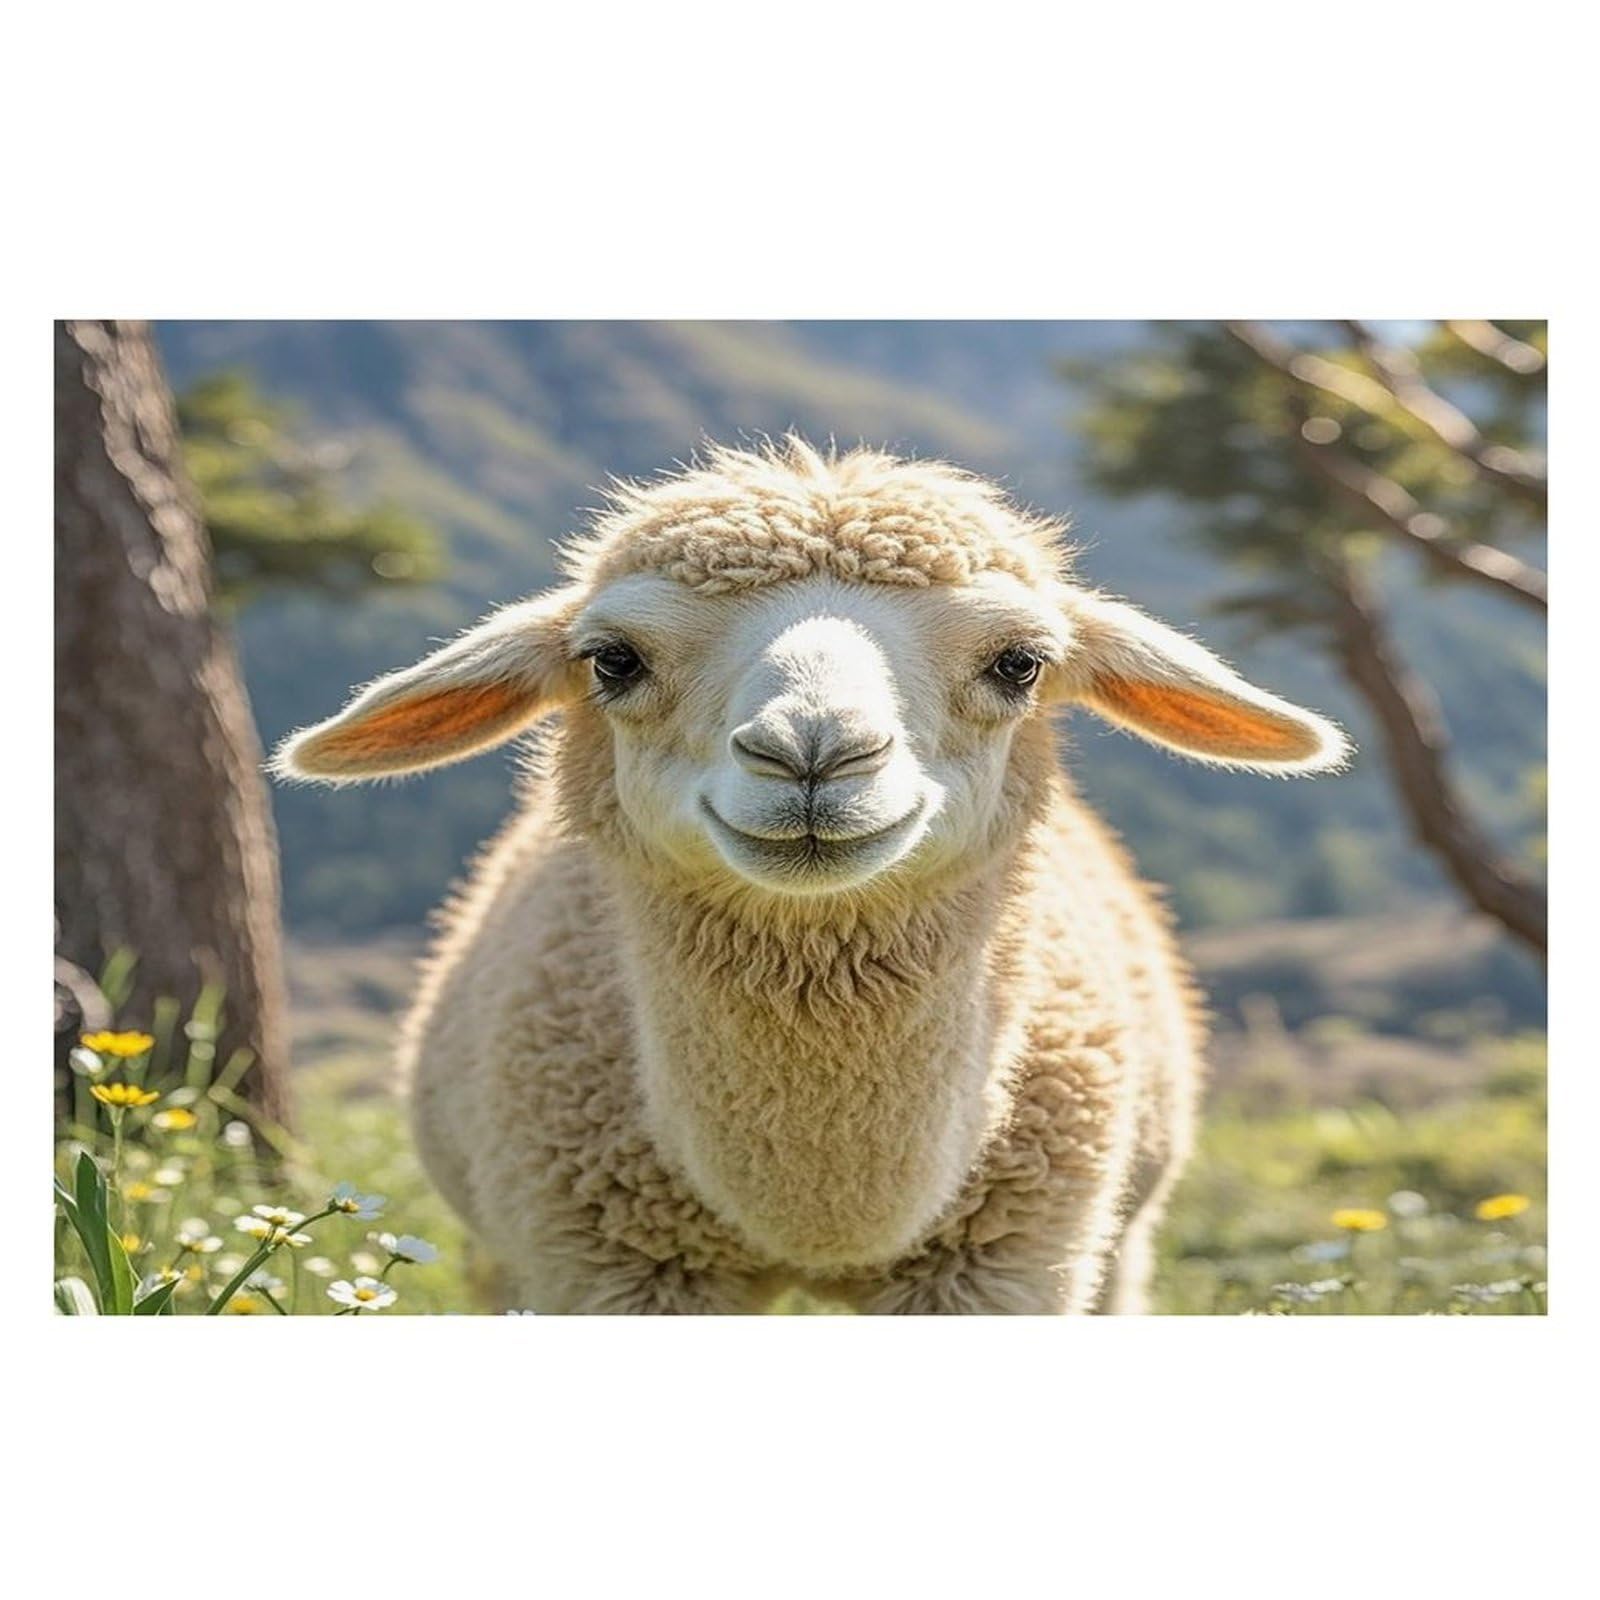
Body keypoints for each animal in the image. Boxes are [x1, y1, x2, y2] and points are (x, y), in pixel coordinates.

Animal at [276, 439, 1349, 1313]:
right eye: (613, 661)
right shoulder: (607, 1262)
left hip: (1116, 1241)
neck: (821, 1211)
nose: (814, 753)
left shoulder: (1004, 1262)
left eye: (1019, 664)